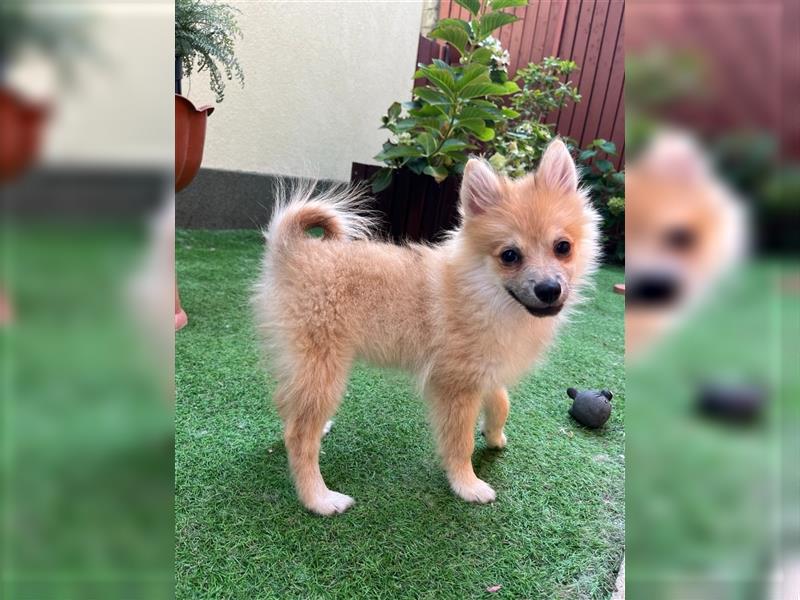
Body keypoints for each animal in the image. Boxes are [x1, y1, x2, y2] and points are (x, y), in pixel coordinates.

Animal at [253, 141, 596, 516]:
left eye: (563, 247)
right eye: (509, 256)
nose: (549, 289)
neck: (486, 294)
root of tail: (292, 251)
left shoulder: (483, 369)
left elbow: (501, 400)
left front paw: (494, 435)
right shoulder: (456, 385)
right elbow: (460, 442)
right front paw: (467, 484)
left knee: (289, 407)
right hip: (323, 368)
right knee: (298, 436)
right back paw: (319, 498)